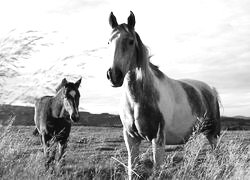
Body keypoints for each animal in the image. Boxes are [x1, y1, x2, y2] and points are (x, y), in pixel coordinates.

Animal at [106, 11, 220, 179]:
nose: (114, 75)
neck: (137, 101)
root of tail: (210, 90)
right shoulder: (131, 139)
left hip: (213, 134)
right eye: (109, 42)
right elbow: (132, 169)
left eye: (131, 41)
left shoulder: (158, 139)